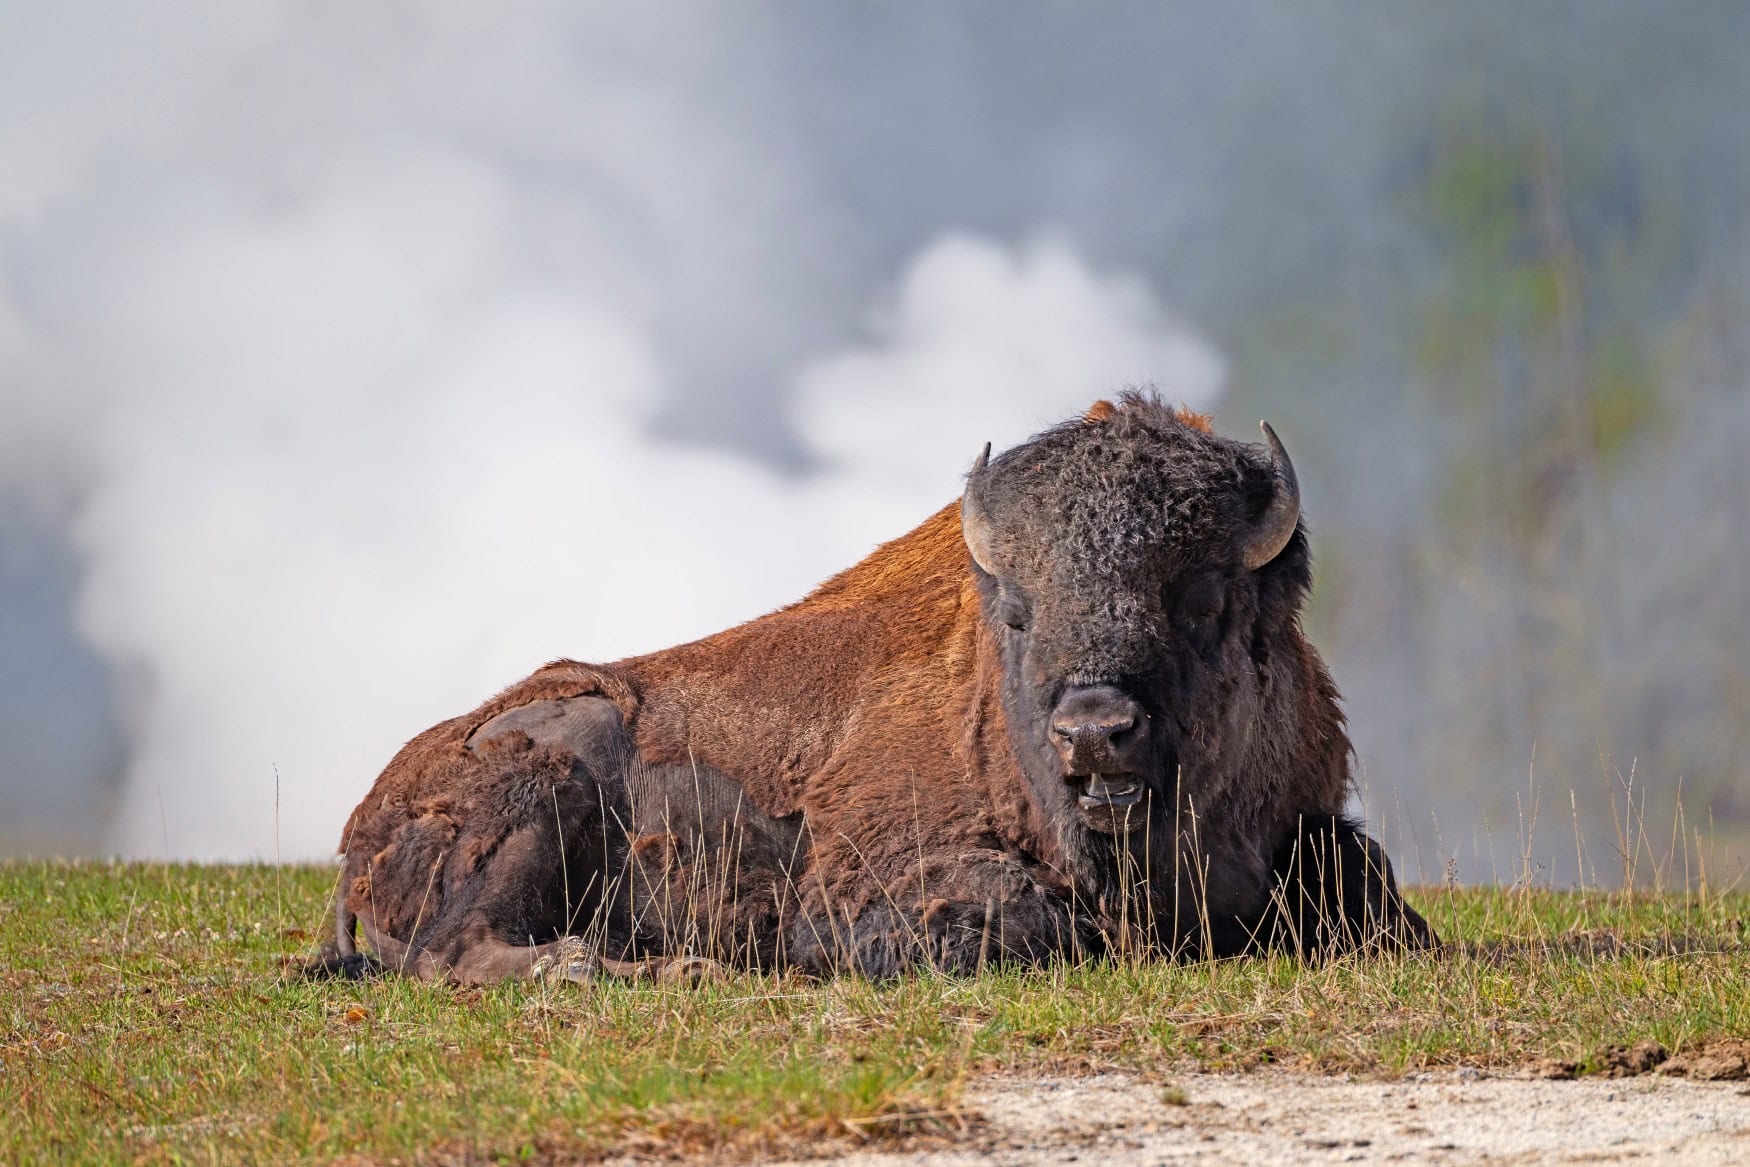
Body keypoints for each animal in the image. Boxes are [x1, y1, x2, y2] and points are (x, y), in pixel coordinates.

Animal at [313, 395, 1433, 983]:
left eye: (1203, 594)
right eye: (1017, 610)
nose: (1093, 731)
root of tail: (361, 826)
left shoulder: (1312, 825)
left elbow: (1367, 886)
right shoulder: (869, 880)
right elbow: (1026, 922)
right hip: (549, 779)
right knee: (455, 952)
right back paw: (639, 968)